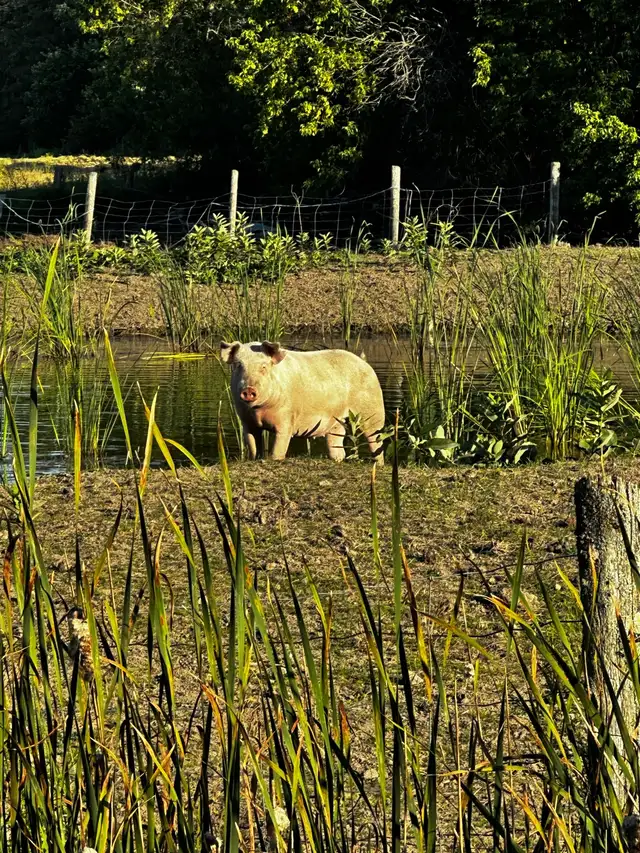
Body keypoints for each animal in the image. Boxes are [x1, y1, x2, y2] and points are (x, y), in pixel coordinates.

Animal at [220, 340, 385, 464]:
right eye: (239, 365)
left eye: (264, 367)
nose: (248, 390)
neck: (258, 411)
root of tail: (365, 363)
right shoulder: (247, 422)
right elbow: (253, 447)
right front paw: (254, 458)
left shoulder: (286, 418)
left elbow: (278, 448)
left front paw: (275, 459)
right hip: (337, 422)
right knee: (338, 445)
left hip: (373, 409)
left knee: (376, 440)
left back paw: (378, 464)